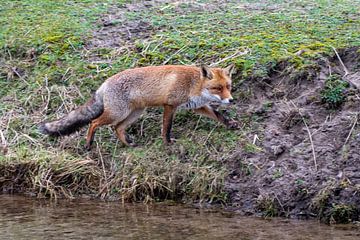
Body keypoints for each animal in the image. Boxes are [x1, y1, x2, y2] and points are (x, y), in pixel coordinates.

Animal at [39, 64, 238, 149]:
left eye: (228, 86)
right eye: (217, 88)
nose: (231, 100)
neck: (193, 84)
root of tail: (104, 83)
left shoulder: (196, 106)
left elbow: (218, 115)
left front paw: (230, 124)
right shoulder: (170, 105)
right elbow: (166, 127)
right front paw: (167, 143)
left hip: (135, 113)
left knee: (117, 128)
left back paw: (128, 144)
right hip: (118, 113)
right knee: (94, 123)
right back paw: (88, 144)